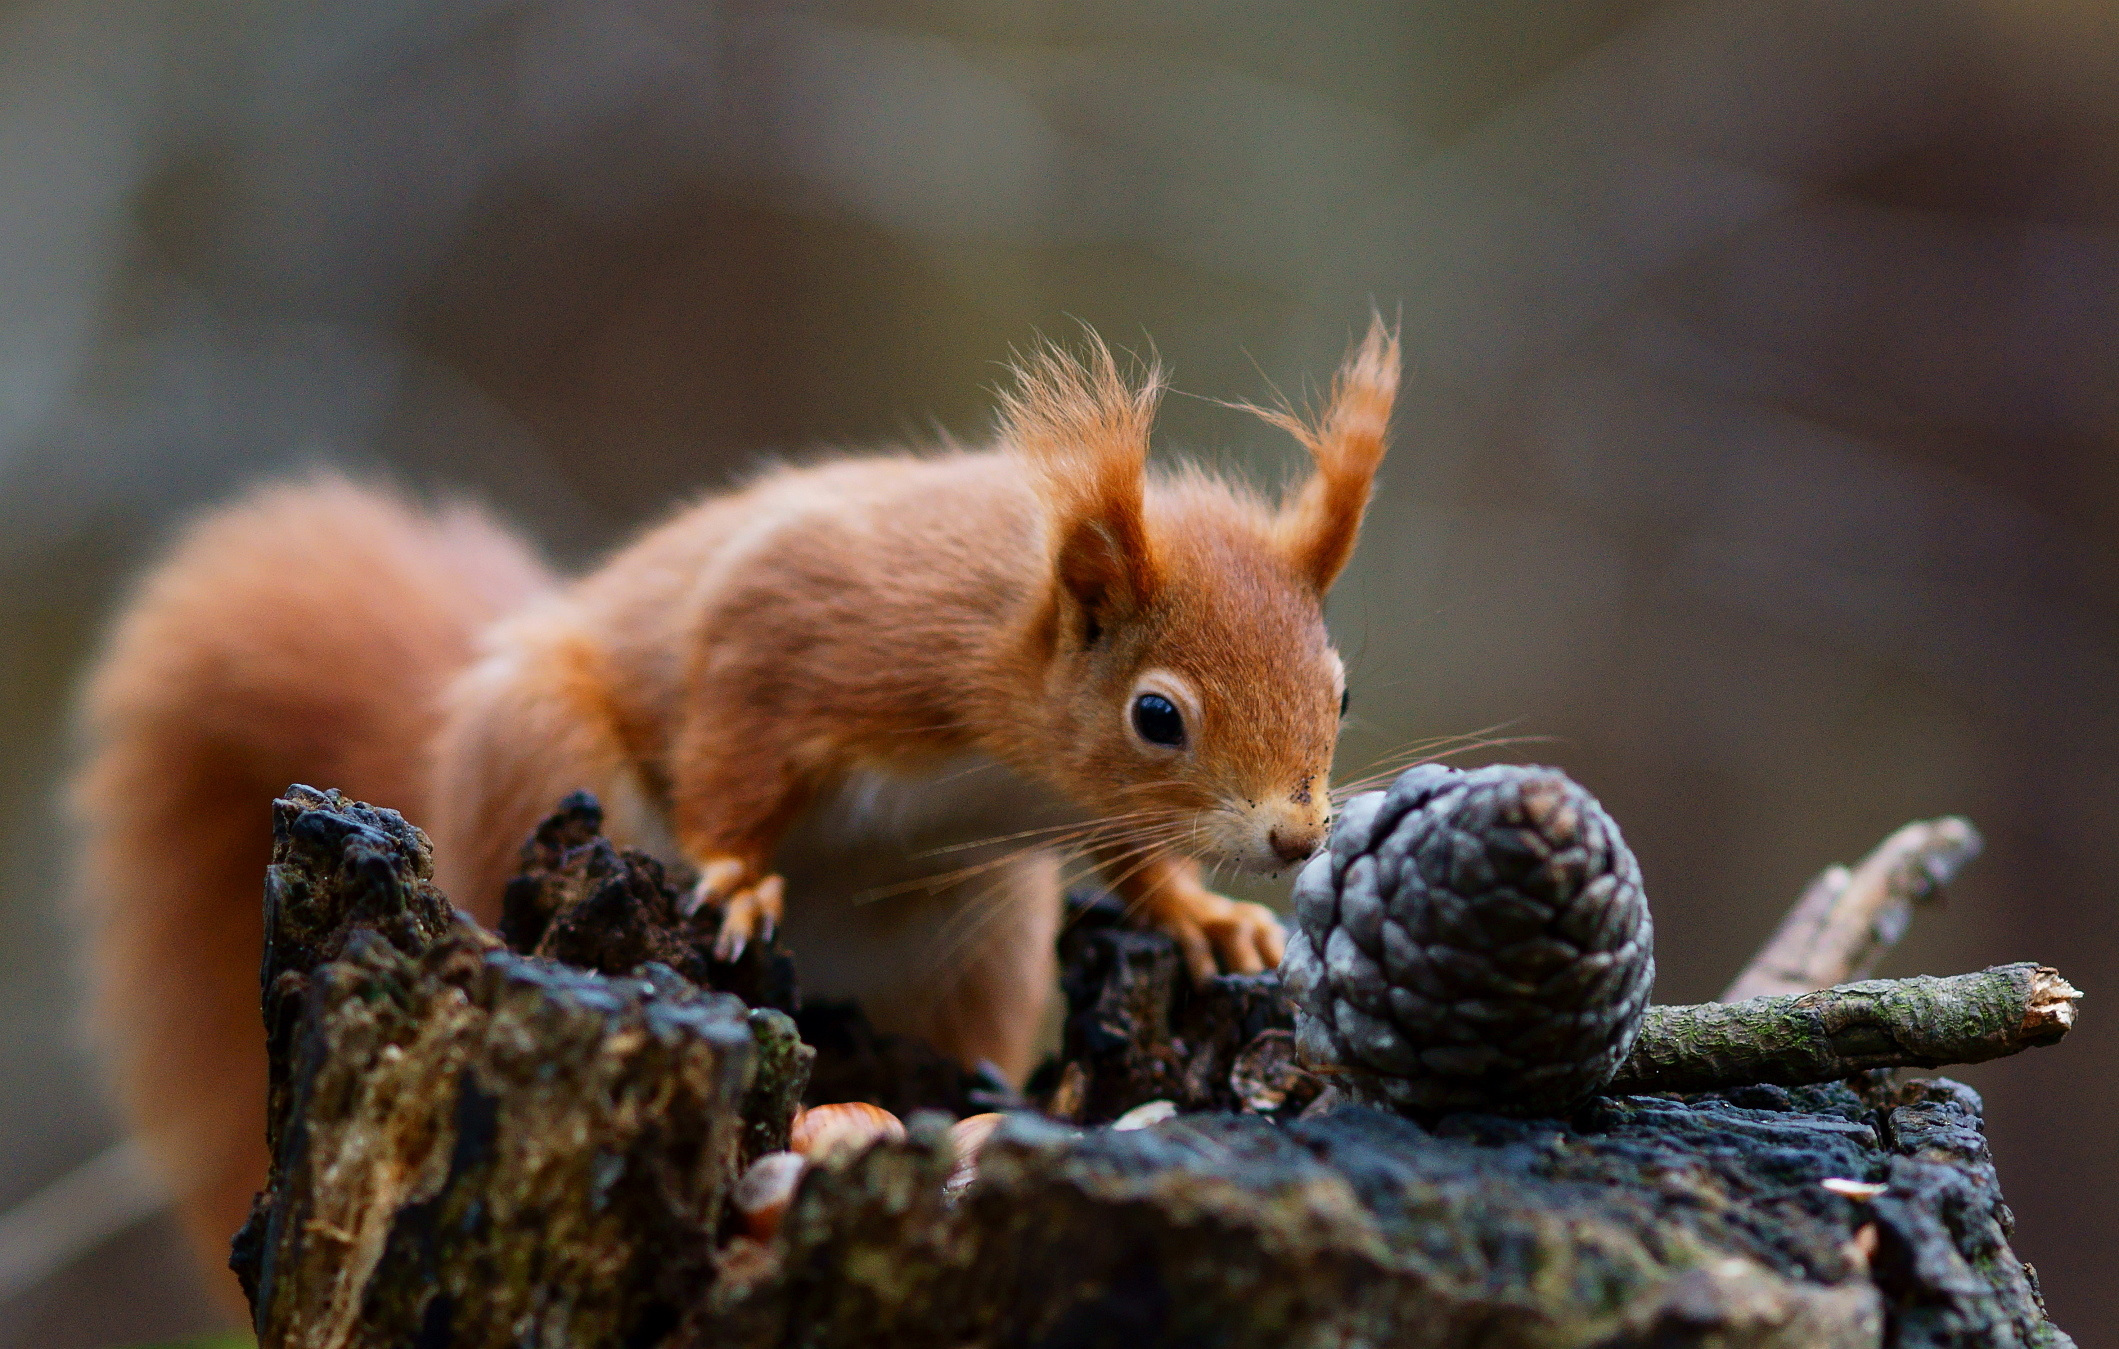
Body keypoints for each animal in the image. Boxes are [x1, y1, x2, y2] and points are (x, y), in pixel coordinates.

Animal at [70, 315, 1390, 1296]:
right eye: (1156, 714)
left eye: (1341, 687)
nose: (1293, 833)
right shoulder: (803, 631)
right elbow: (728, 743)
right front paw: (738, 874)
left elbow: (1133, 858)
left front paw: (1202, 916)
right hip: (538, 758)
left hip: (971, 946)